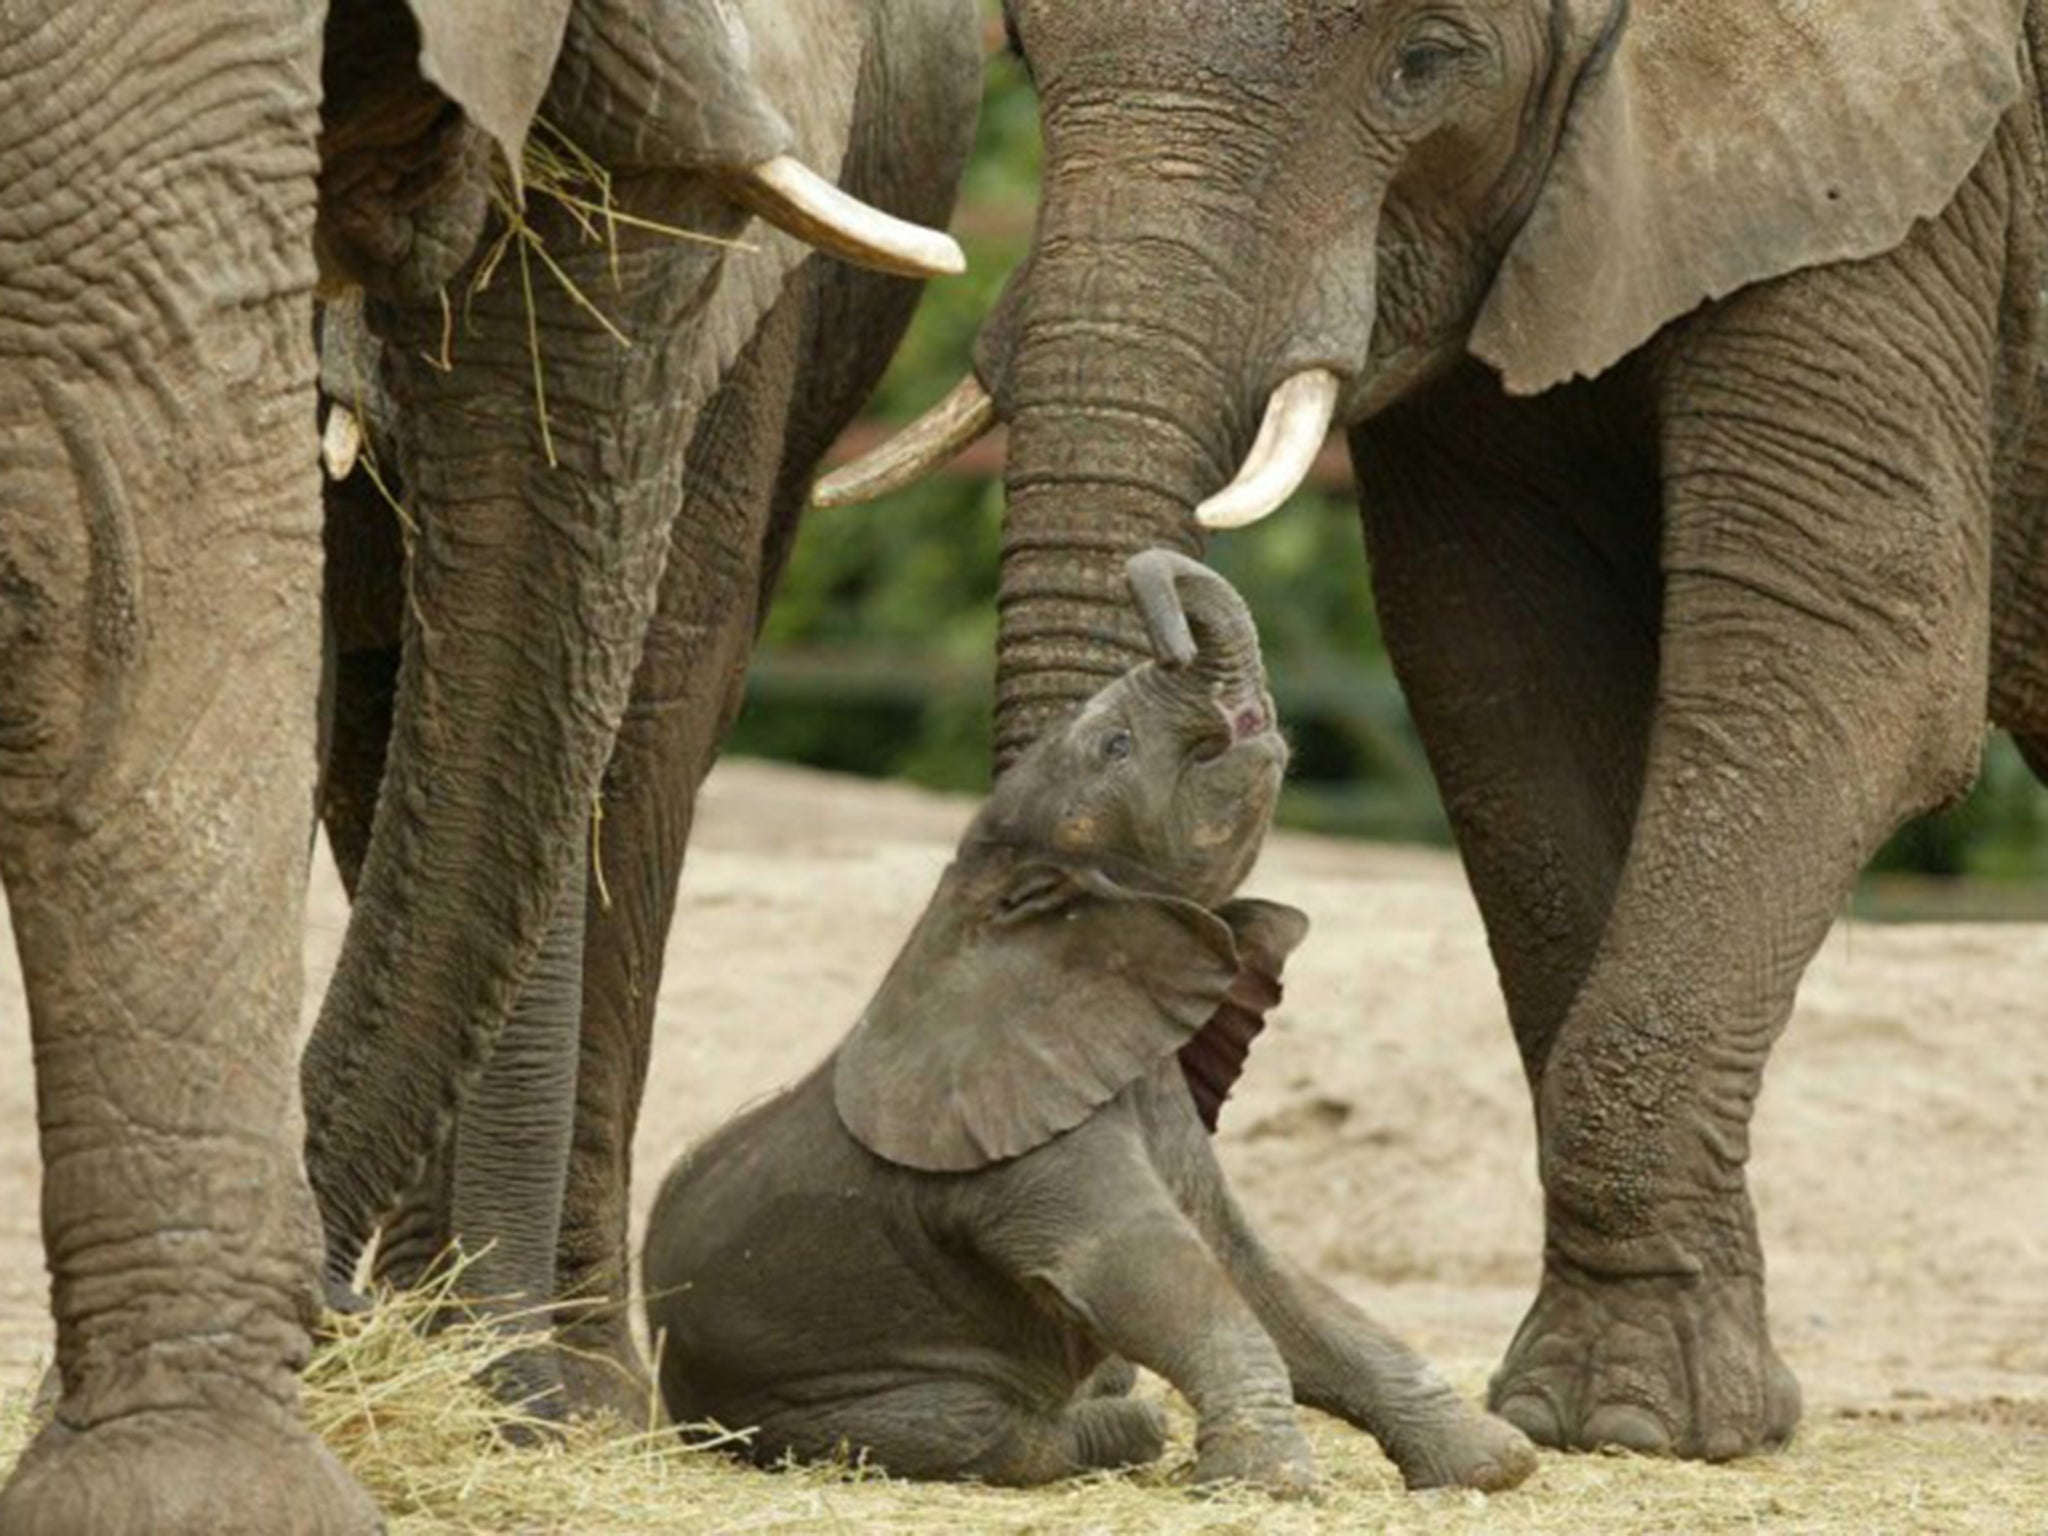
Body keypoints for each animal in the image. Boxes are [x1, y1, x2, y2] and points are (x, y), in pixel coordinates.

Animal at [643, 552, 1540, 1507]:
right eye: (1114, 747)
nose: (1171, 624)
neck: (990, 895)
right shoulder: (1021, 1152)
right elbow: (1147, 1270)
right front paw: (1268, 1486)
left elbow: (1250, 1264)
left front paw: (1495, 1463)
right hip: (825, 1403)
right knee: (987, 1432)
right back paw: (1117, 1430)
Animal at [827, 0, 2048, 1466]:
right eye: (1017, 46)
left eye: (1427, 61)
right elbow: (1501, 671)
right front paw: (1614, 1410)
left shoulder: (1905, 190)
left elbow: (1834, 661)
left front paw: (1628, 1420)